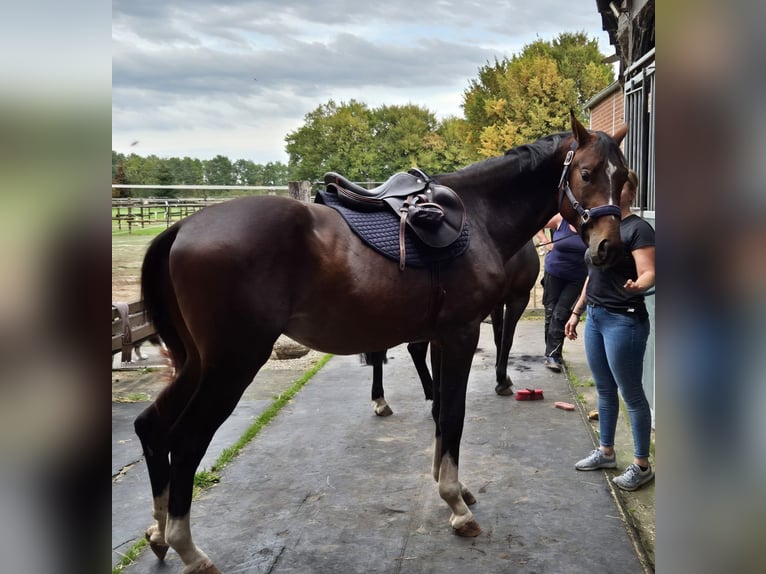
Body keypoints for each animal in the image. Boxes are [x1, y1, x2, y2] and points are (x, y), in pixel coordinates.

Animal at [366, 239, 540, 416]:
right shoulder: (518, 298)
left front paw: (501, 375)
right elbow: (506, 340)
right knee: (407, 350)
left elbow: (498, 337)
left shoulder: (497, 304)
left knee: (404, 350)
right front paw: (502, 381)